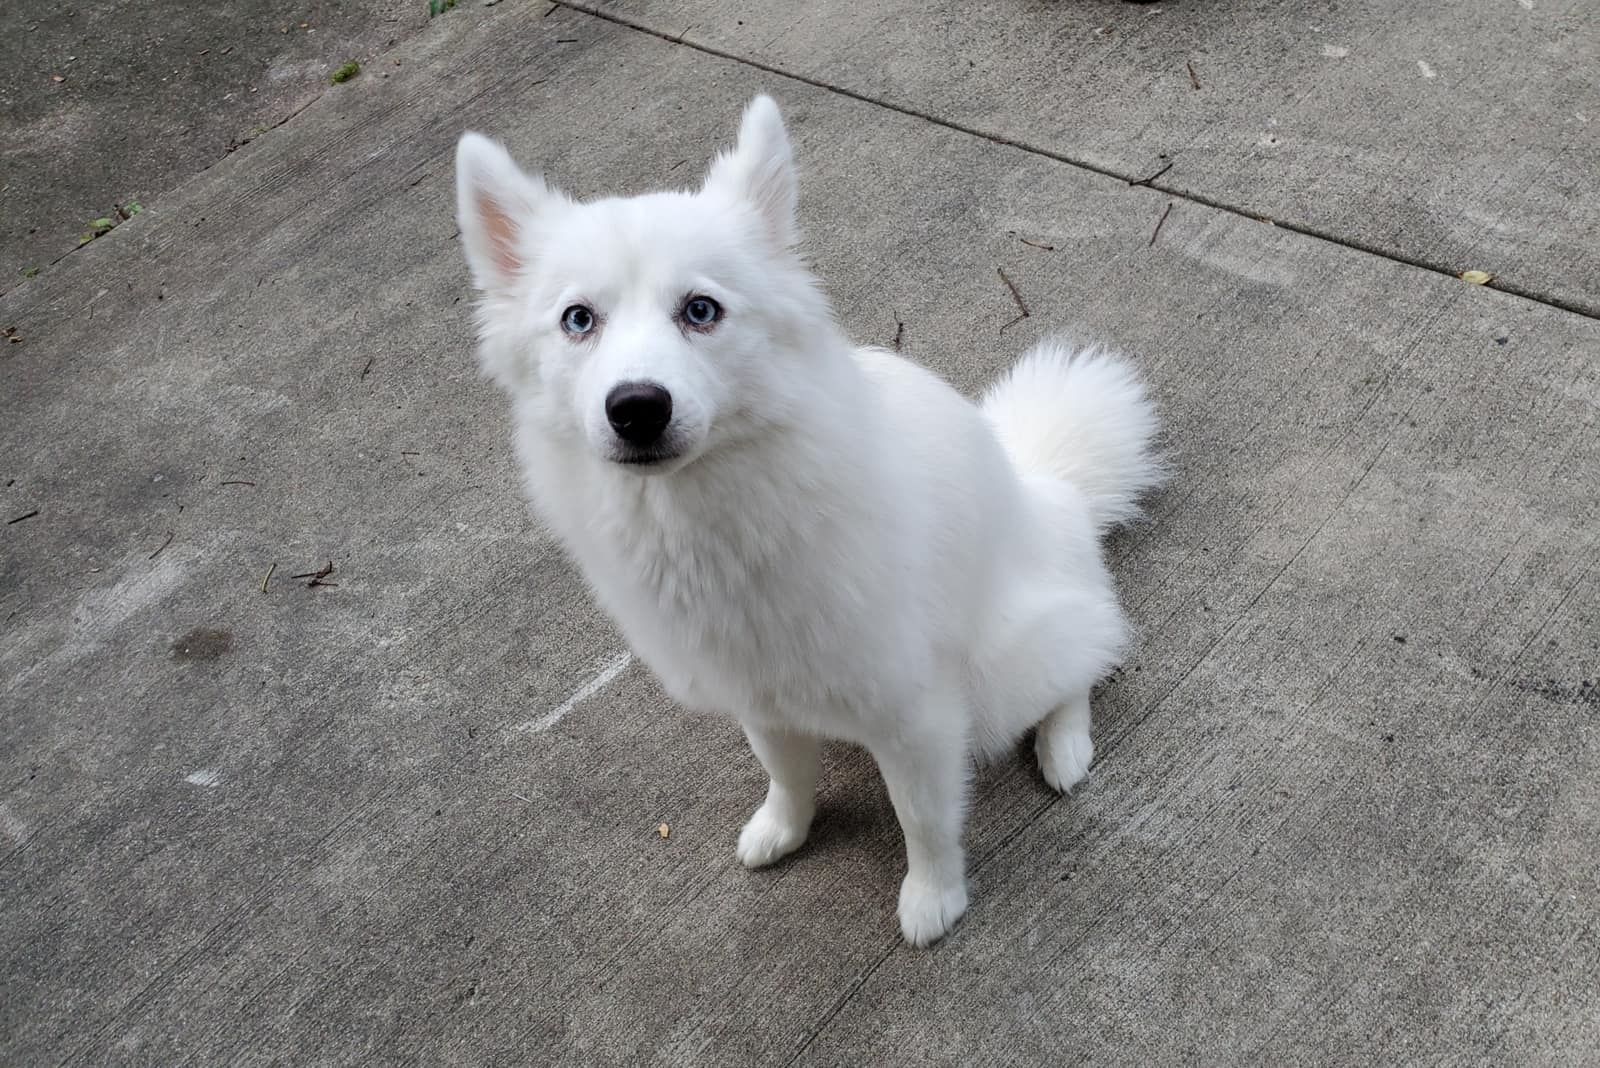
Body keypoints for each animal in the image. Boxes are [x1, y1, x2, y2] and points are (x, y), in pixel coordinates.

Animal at [457, 93, 1158, 940]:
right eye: (578, 320)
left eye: (700, 310)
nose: (636, 407)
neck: (715, 519)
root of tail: (1049, 484)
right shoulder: (761, 697)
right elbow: (787, 776)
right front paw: (783, 831)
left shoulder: (916, 713)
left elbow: (924, 818)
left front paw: (933, 897)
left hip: (1008, 665)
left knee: (1083, 659)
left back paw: (1065, 745)